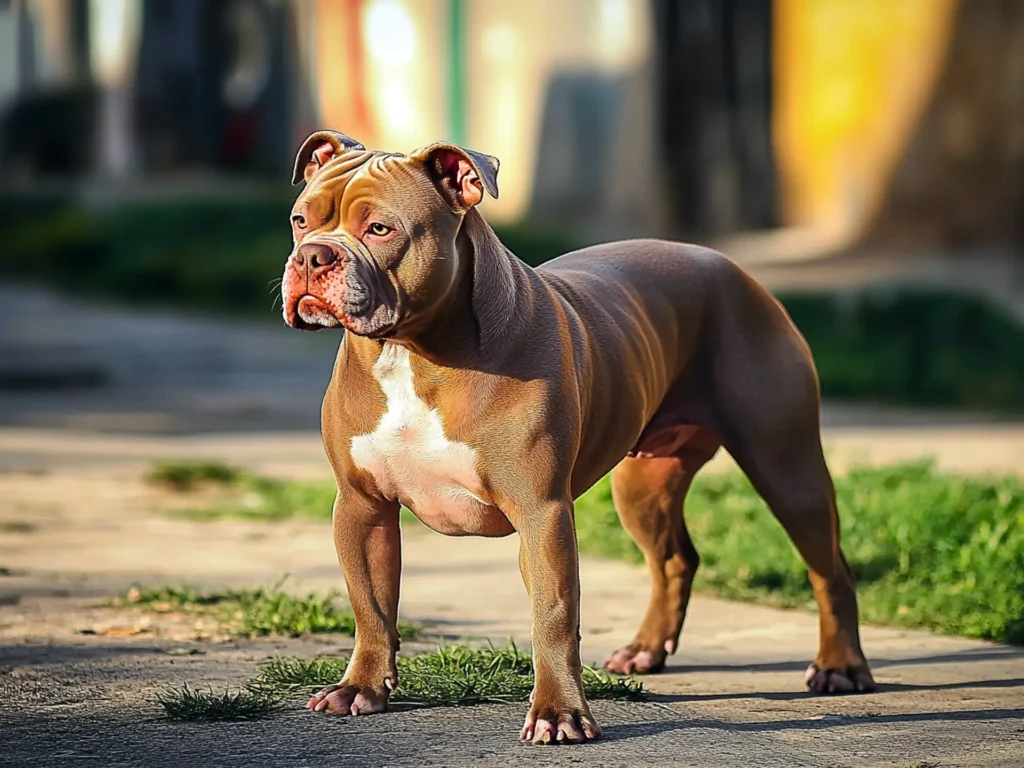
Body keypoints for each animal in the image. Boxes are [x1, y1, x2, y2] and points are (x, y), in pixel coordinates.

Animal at [282, 131, 880, 745]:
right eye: (301, 220)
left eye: (381, 228)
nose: (311, 256)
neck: (410, 351)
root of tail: (731, 267)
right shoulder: (362, 506)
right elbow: (371, 605)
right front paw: (361, 687)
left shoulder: (541, 511)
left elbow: (553, 613)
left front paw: (558, 714)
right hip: (642, 486)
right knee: (675, 559)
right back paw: (645, 651)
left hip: (787, 468)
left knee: (830, 567)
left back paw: (841, 667)